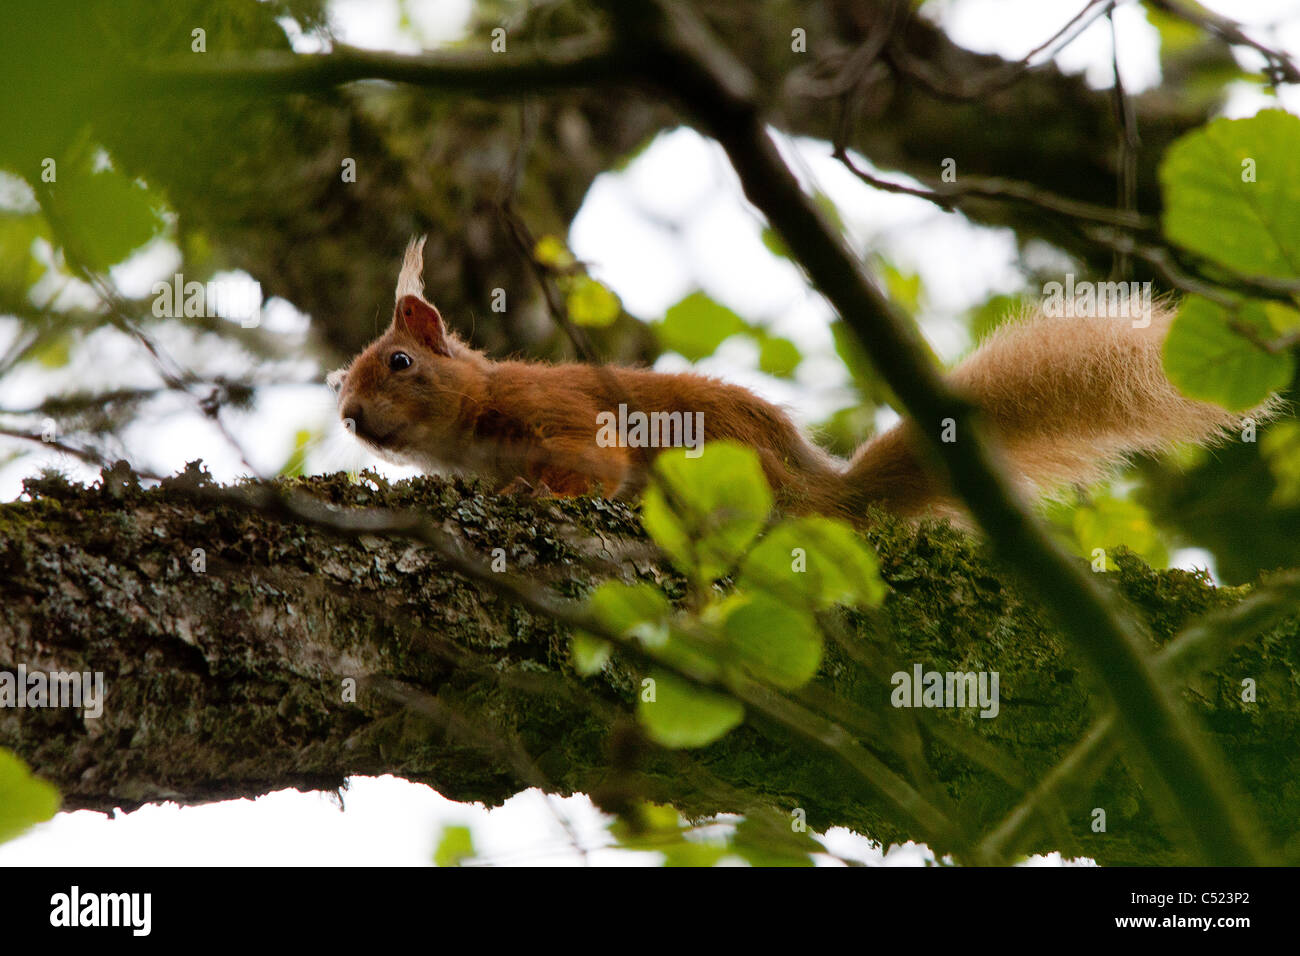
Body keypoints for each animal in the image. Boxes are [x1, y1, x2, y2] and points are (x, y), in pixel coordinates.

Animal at [327, 239, 1268, 522]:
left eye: (401, 363)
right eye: (340, 385)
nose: (351, 419)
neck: (476, 415)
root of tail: (827, 496)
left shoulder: (557, 411)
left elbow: (592, 468)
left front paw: (532, 494)